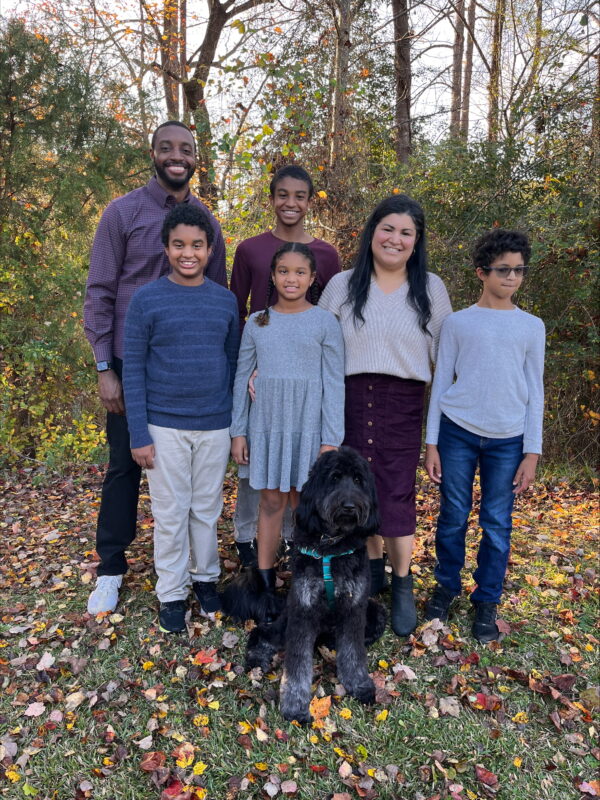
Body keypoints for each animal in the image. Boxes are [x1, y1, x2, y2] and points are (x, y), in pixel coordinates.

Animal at [246, 446, 386, 728]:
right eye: (334, 478)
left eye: (358, 480)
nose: (349, 506)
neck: (332, 545)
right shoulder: (303, 609)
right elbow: (298, 664)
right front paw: (294, 707)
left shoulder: (355, 607)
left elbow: (353, 652)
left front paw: (359, 684)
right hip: (286, 620)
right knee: (262, 634)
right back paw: (257, 659)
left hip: (375, 611)